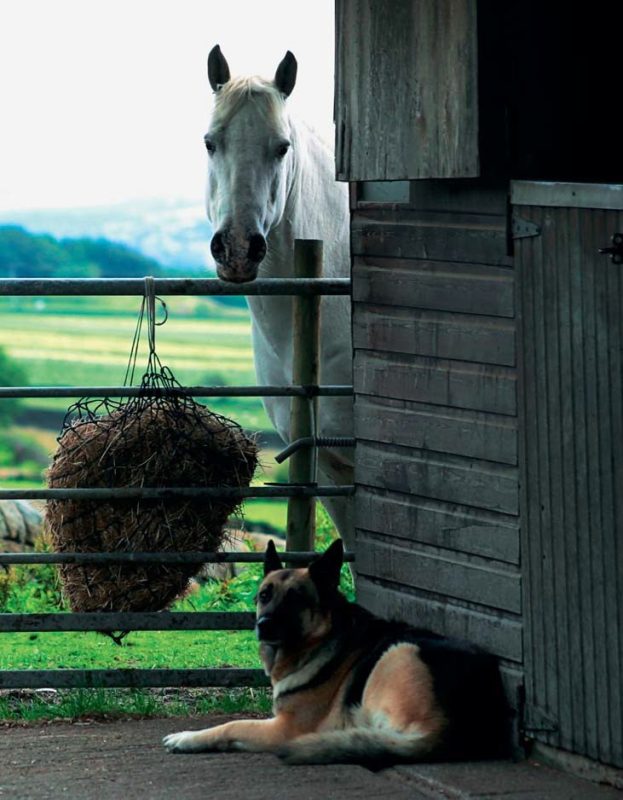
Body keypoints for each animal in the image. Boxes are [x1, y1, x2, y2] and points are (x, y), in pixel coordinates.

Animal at [163, 540, 510, 764]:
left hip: (398, 653)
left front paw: (186, 737)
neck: (321, 640)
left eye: (295, 599)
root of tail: (450, 726)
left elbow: (232, 725)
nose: (264, 625)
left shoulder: (285, 728)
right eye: (264, 595)